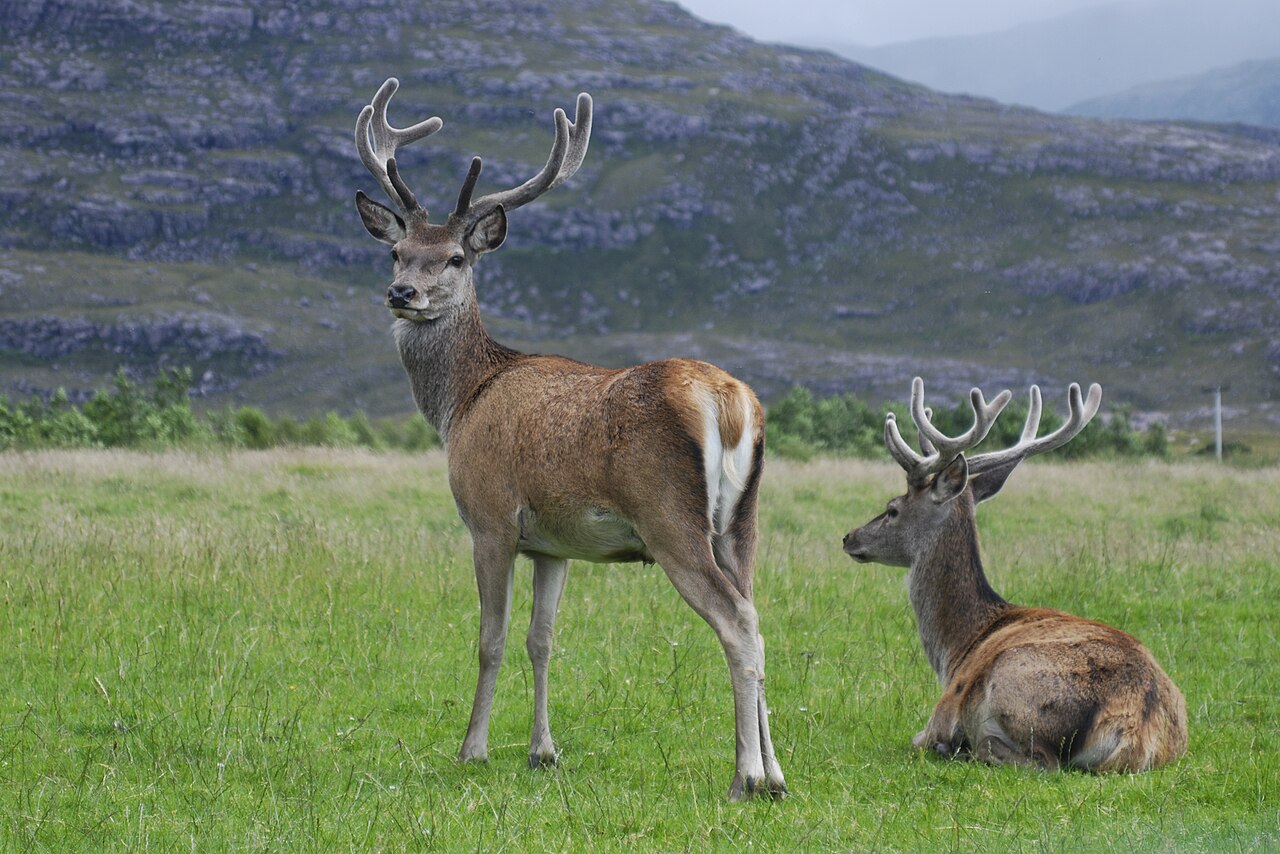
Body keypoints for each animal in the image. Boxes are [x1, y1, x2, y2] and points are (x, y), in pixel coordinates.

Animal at [351, 79, 785, 800]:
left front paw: (472, 749)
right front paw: (542, 751)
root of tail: (729, 403)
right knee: (758, 612)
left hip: (670, 516)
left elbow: (491, 639)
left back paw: (744, 776)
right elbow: (542, 639)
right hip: (741, 520)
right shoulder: (553, 545)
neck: (461, 401)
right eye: (395, 251)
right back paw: (776, 773)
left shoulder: (491, 518)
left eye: (456, 257)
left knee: (738, 624)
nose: (402, 293)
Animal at [843, 378, 1187, 772]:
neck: (957, 647)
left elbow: (918, 739)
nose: (849, 537)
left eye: (892, 509)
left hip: (1016, 682)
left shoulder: (939, 714)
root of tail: (1136, 725)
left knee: (1039, 760)